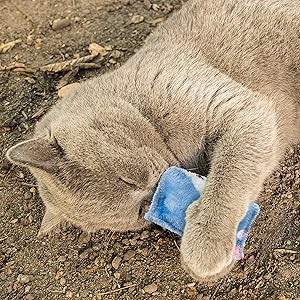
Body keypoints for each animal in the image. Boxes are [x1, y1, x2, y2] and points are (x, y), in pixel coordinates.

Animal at [5, 0, 300, 282]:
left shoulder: (242, 110)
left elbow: (228, 178)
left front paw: (205, 248)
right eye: (138, 213)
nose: (154, 192)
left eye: (127, 180)